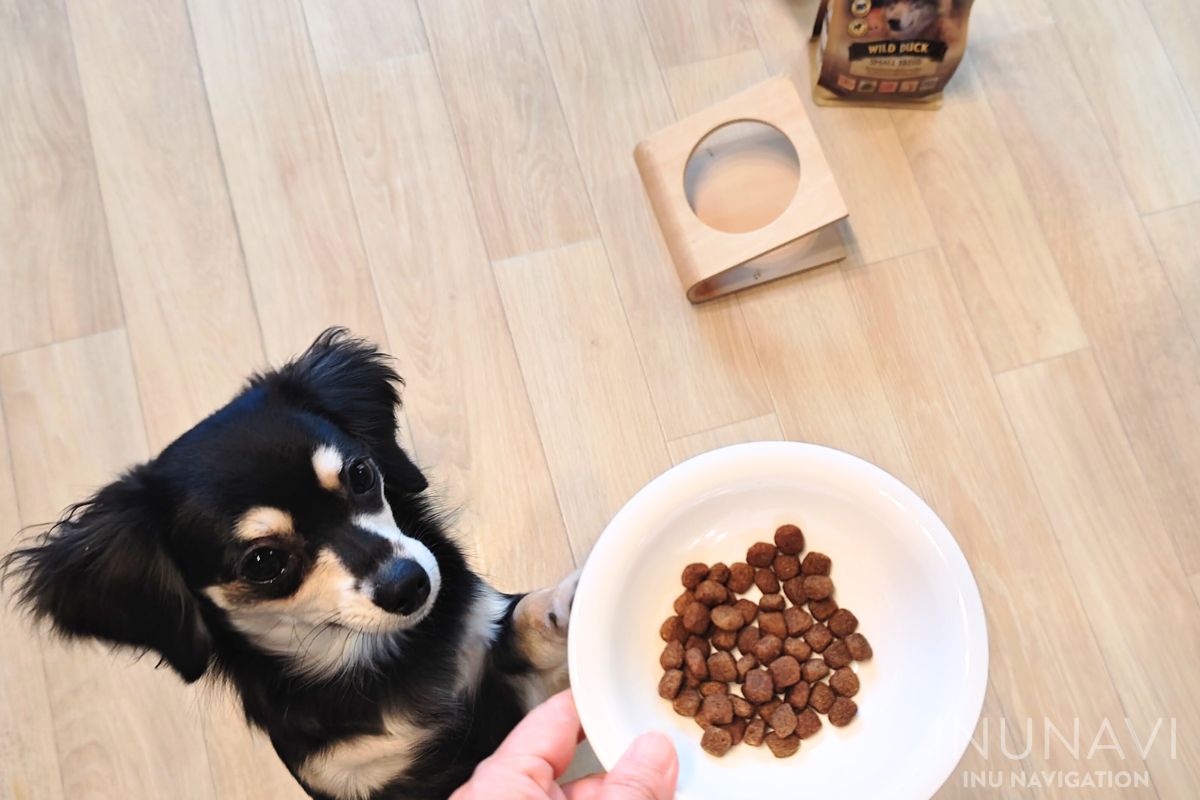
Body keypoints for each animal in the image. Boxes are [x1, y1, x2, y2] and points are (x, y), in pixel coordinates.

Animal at [0, 328, 580, 796]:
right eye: (264, 562)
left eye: (362, 474)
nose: (409, 585)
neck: (369, 658)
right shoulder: (364, 778)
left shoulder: (494, 654)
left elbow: (521, 622)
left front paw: (564, 605)